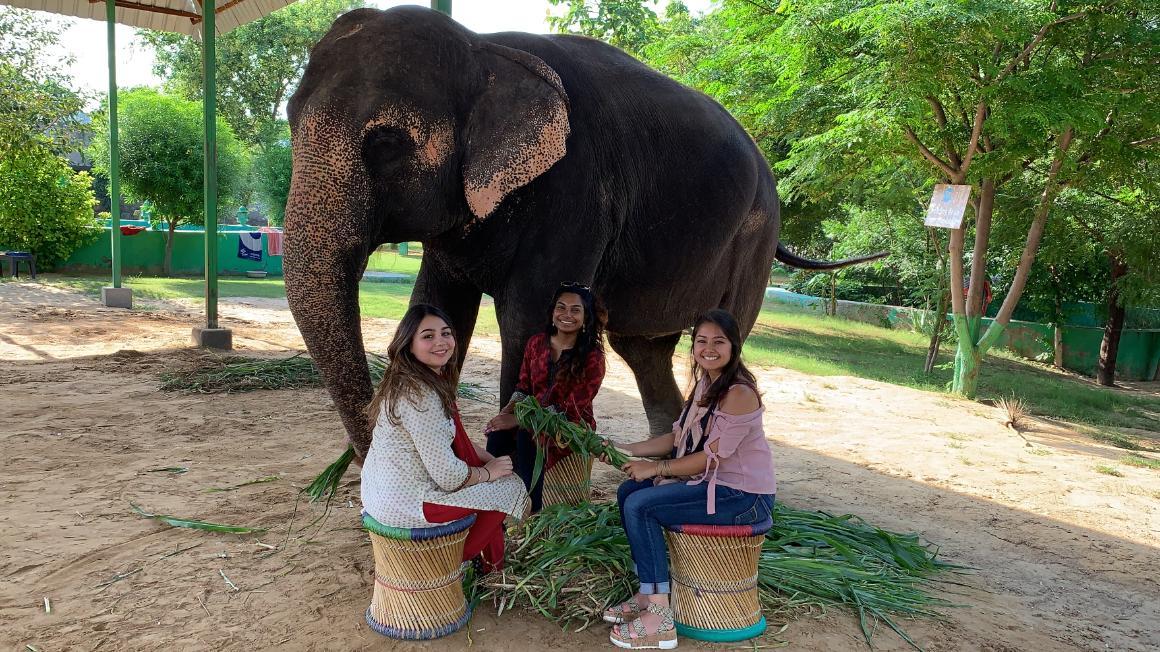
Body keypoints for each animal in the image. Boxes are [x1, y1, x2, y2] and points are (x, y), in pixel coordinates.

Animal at [285, 6, 881, 457]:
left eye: (386, 142)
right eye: (289, 120)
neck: (483, 49)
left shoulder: (575, 191)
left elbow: (529, 317)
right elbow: (438, 304)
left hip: (753, 240)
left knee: (722, 332)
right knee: (642, 349)